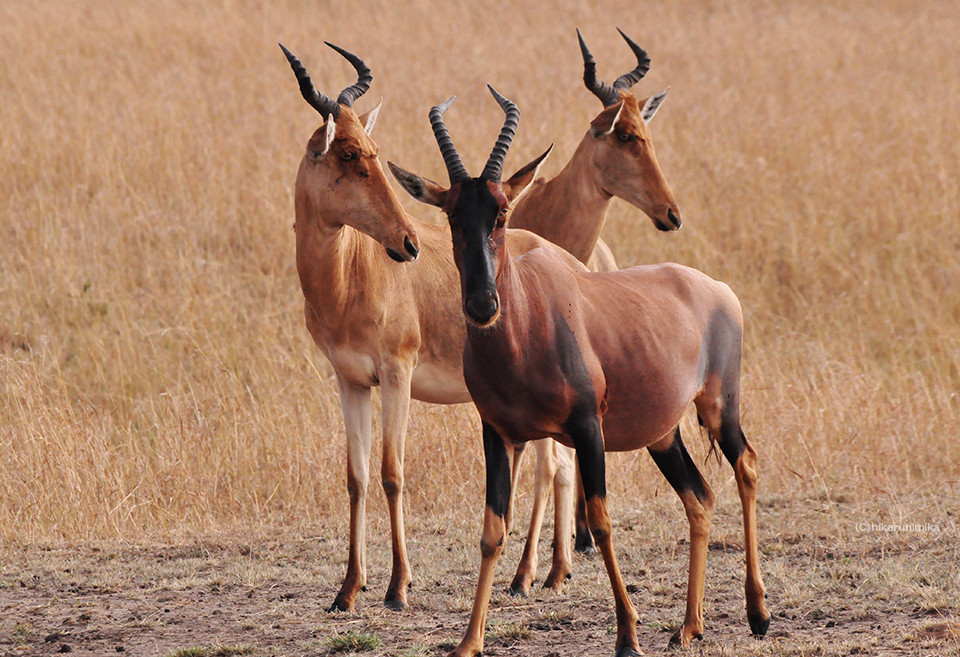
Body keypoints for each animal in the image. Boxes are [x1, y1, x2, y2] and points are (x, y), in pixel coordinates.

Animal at [396, 88, 772, 656]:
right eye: (451, 214)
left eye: (502, 211)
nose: (483, 305)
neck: (531, 316)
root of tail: (718, 289)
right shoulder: (498, 435)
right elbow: (491, 530)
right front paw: (468, 642)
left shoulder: (588, 430)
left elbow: (600, 520)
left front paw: (628, 635)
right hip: (662, 434)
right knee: (700, 497)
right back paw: (689, 627)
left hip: (718, 406)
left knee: (745, 466)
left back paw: (758, 613)